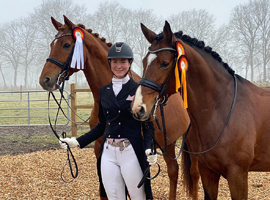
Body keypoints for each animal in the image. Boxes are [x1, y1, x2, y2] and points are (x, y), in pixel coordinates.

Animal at [38, 16, 192, 200]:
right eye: (51, 45)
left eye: (66, 45)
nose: (45, 80)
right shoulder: (99, 145)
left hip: (169, 144)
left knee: (174, 172)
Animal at [131, 20, 270, 200]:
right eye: (143, 61)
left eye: (165, 63)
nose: (138, 108)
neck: (223, 111)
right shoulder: (208, 173)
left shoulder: (238, 175)